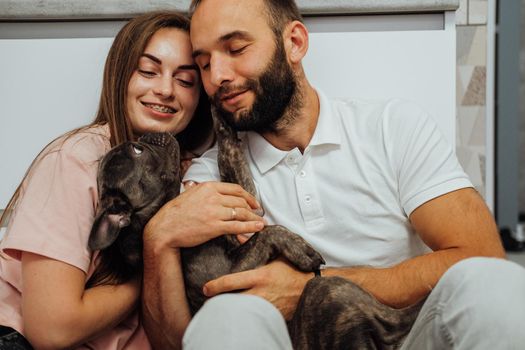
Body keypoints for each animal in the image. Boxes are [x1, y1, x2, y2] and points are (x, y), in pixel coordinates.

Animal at [89, 110, 422, 348]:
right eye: (137, 150)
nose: (148, 132)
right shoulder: (224, 277)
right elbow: (268, 231)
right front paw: (300, 248)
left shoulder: (245, 200)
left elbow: (230, 156)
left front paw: (220, 114)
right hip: (327, 296)